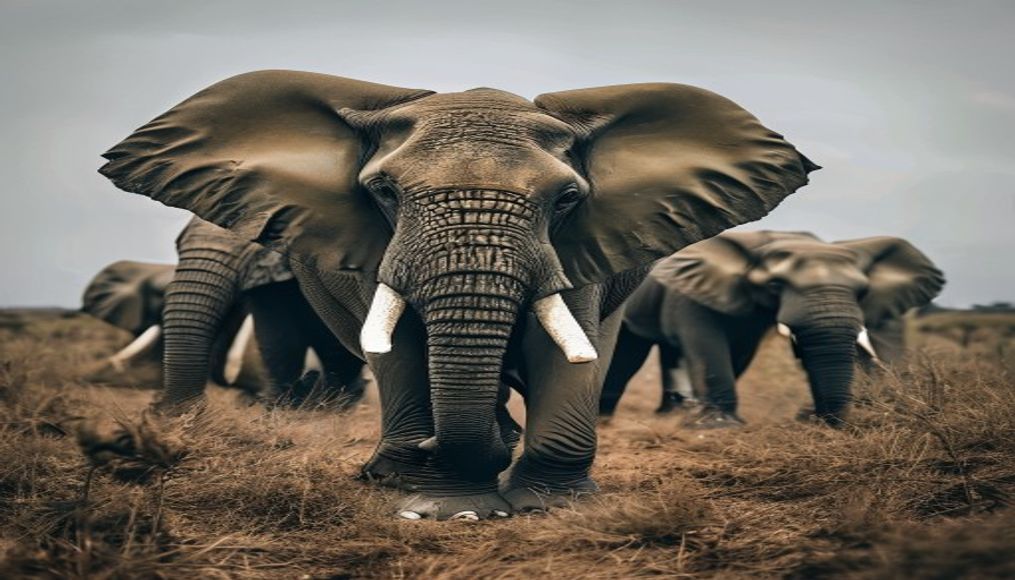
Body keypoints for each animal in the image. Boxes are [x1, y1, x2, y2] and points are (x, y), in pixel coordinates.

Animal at [98, 70, 816, 519]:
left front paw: (548, 504)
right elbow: (400, 346)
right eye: (384, 192)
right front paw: (445, 502)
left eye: (567, 198)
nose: (160, 420)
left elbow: (569, 343)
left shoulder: (580, 241)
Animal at [599, 230, 945, 428]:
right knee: (627, 355)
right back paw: (607, 419)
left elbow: (741, 352)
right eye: (776, 284)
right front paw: (719, 426)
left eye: (862, 290)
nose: (809, 416)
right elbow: (707, 344)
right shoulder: (691, 291)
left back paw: (669, 416)